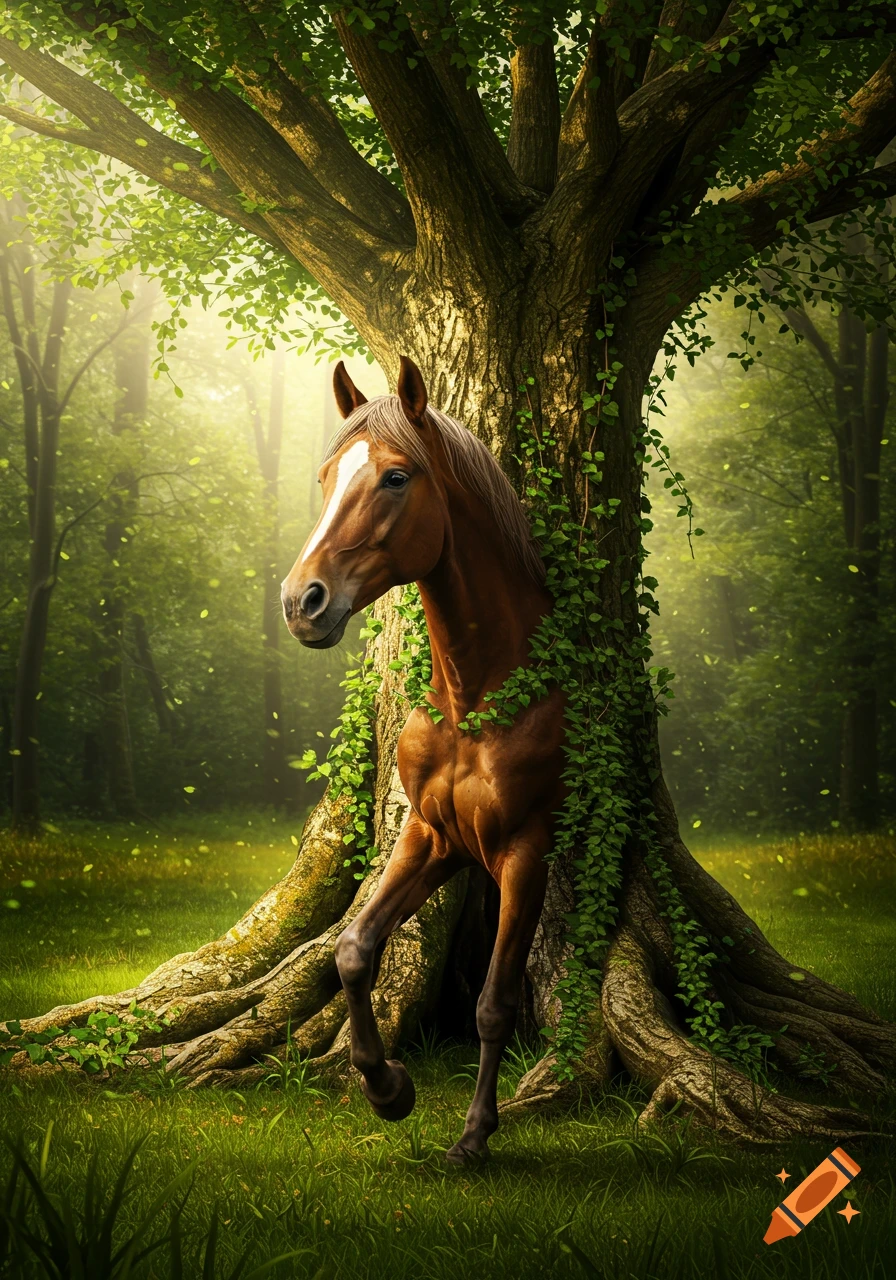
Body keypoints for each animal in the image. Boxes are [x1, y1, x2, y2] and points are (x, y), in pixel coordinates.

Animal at [281, 356, 565, 1163]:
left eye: (396, 477)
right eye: (325, 477)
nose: (301, 602)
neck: (476, 693)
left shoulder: (523, 851)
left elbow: (494, 1005)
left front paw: (474, 1134)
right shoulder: (431, 836)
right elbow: (352, 950)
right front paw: (387, 1089)